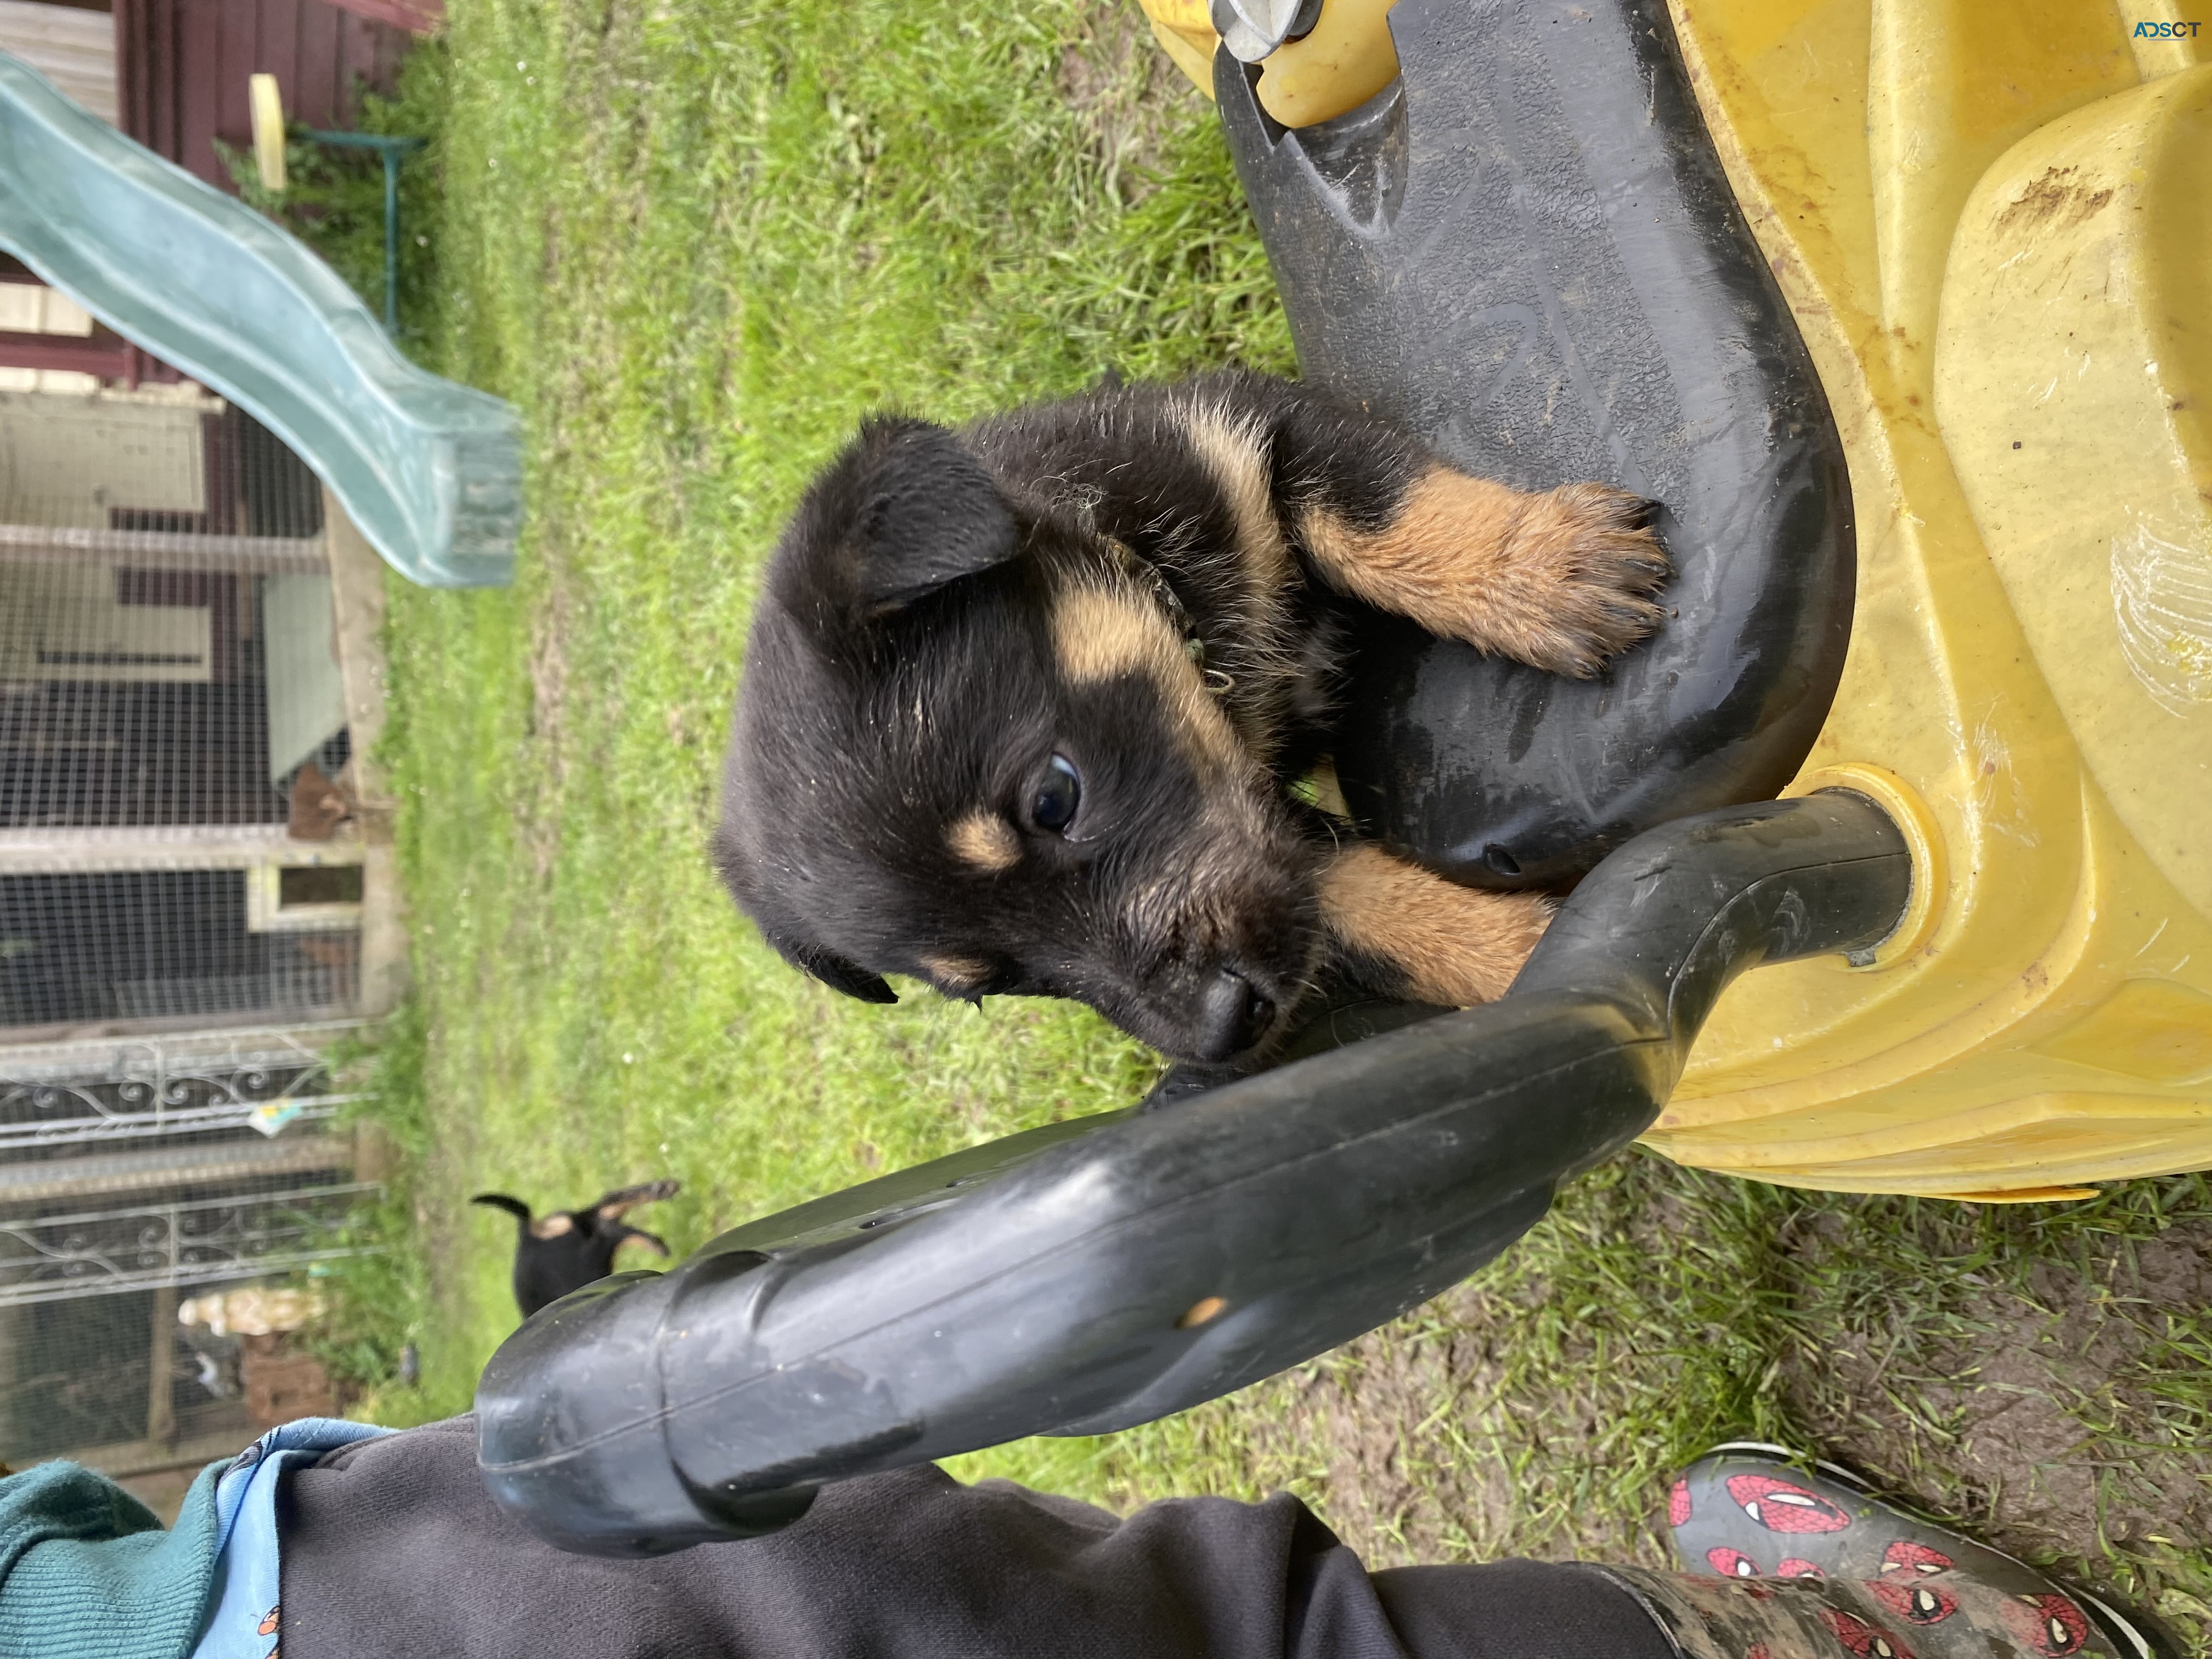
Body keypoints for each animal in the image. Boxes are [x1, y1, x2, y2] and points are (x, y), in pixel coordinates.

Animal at [479, 1186, 685, 1327]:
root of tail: (526, 1233)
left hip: (588, 1259)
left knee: (606, 1225)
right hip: (584, 1233)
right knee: (605, 1206)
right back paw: (663, 1189)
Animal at [716, 371, 1663, 1070]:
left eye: (1055, 799)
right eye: (989, 984)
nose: (1219, 1034)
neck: (1196, 634)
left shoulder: (1248, 427)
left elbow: (1383, 515)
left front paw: (1540, 569)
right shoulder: (1263, 836)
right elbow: (1358, 902)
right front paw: (1534, 955)